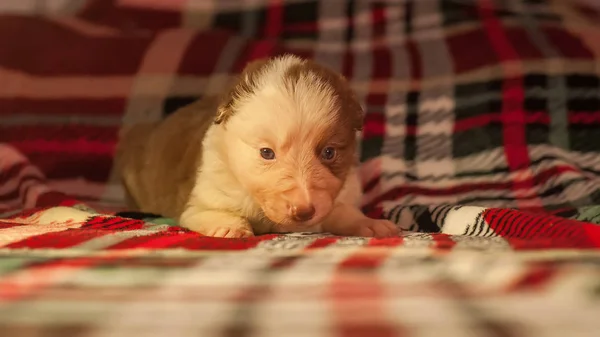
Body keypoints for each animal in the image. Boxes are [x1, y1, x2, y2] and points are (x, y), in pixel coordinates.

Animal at [116, 53, 398, 238]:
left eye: (329, 152)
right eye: (266, 153)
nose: (303, 212)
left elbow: (340, 211)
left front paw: (369, 224)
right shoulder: (201, 199)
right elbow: (211, 211)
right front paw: (228, 226)